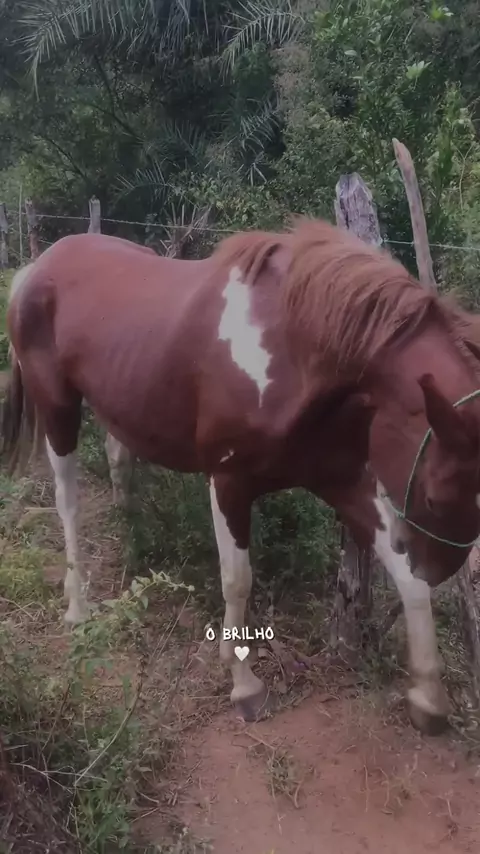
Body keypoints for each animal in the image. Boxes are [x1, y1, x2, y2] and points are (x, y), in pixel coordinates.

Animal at [3, 218, 480, 736]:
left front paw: (428, 697)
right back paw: (78, 606)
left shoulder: (343, 479)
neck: (295, 353)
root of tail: (36, 268)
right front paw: (244, 684)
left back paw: (134, 546)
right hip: (58, 409)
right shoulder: (229, 481)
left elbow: (405, 579)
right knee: (67, 501)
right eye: (436, 499)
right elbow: (237, 580)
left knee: (117, 458)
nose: (441, 570)